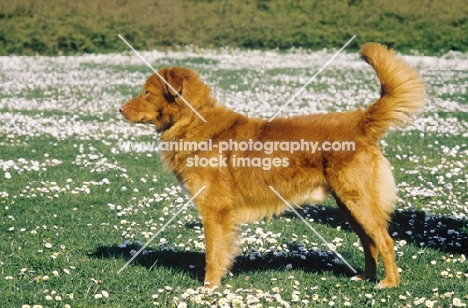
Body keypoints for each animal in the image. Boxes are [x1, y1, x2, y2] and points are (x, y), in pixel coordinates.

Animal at [119, 42, 426, 288]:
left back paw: (389, 283)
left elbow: (213, 253)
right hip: (349, 205)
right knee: (369, 242)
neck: (193, 121)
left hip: (358, 201)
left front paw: (209, 287)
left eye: (146, 93)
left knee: (384, 240)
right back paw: (366, 276)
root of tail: (360, 120)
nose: (119, 109)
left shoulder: (215, 210)